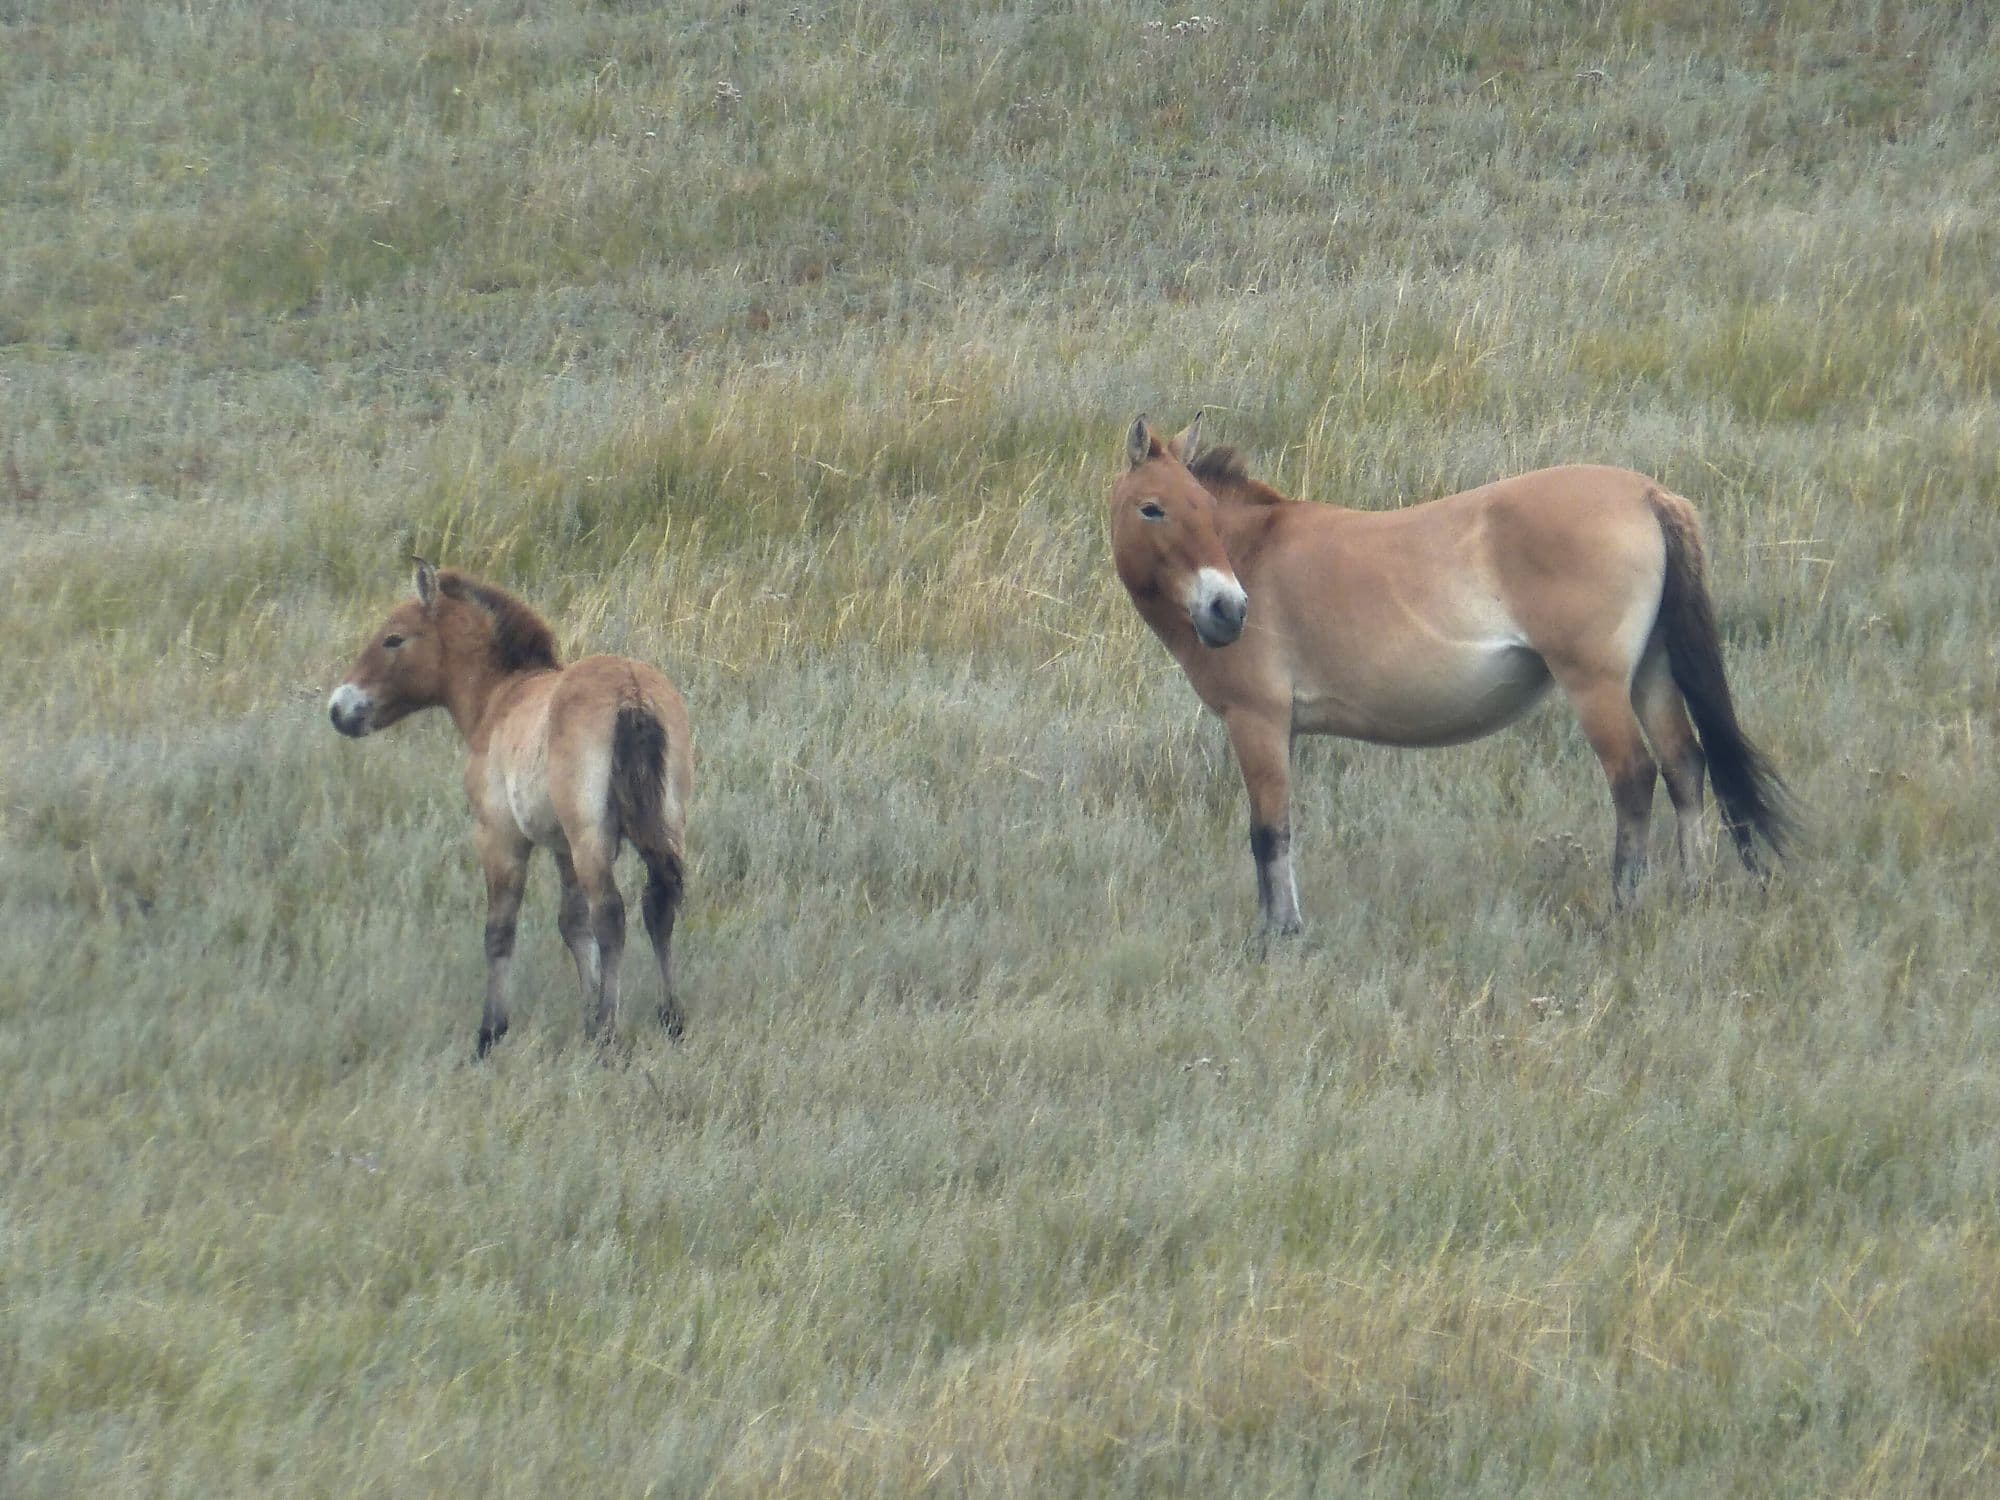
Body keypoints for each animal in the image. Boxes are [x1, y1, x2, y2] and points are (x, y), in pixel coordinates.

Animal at [329, 560, 693, 1056]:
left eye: (394, 638)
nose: (338, 708)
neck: (501, 698)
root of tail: (631, 693)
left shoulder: (500, 838)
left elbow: (500, 931)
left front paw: (491, 1032)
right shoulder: (561, 846)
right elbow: (572, 924)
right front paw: (586, 1012)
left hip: (591, 835)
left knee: (612, 915)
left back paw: (609, 1035)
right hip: (663, 822)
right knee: (659, 904)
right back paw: (669, 1018)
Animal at [1109, 415, 1796, 932]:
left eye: (1202, 507)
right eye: (1153, 508)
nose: (1227, 610)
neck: (1254, 551)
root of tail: (1647, 495)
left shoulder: (1258, 723)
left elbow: (1269, 833)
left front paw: (1279, 935)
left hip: (1597, 686)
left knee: (1634, 776)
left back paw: (1621, 906)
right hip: (1651, 674)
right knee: (1684, 766)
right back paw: (1692, 891)